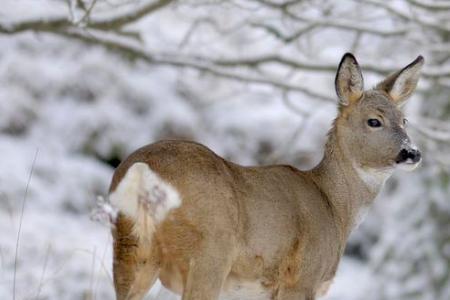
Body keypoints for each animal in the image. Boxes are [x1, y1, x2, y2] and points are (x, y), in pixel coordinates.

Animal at [110, 54, 426, 300]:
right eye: (374, 121)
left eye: (404, 120)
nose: (412, 152)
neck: (336, 209)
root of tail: (142, 172)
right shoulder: (301, 278)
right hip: (209, 251)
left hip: (131, 251)